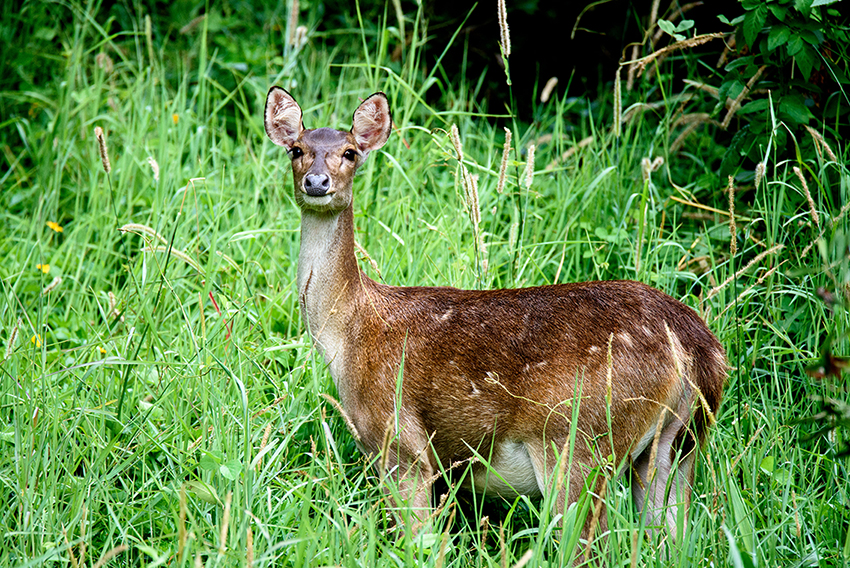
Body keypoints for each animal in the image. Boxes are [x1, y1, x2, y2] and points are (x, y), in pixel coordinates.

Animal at [263, 86, 726, 546]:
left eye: (350, 152)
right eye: (297, 149)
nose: (316, 182)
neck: (349, 333)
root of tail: (698, 348)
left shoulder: (400, 441)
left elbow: (419, 541)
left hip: (578, 441)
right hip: (678, 444)